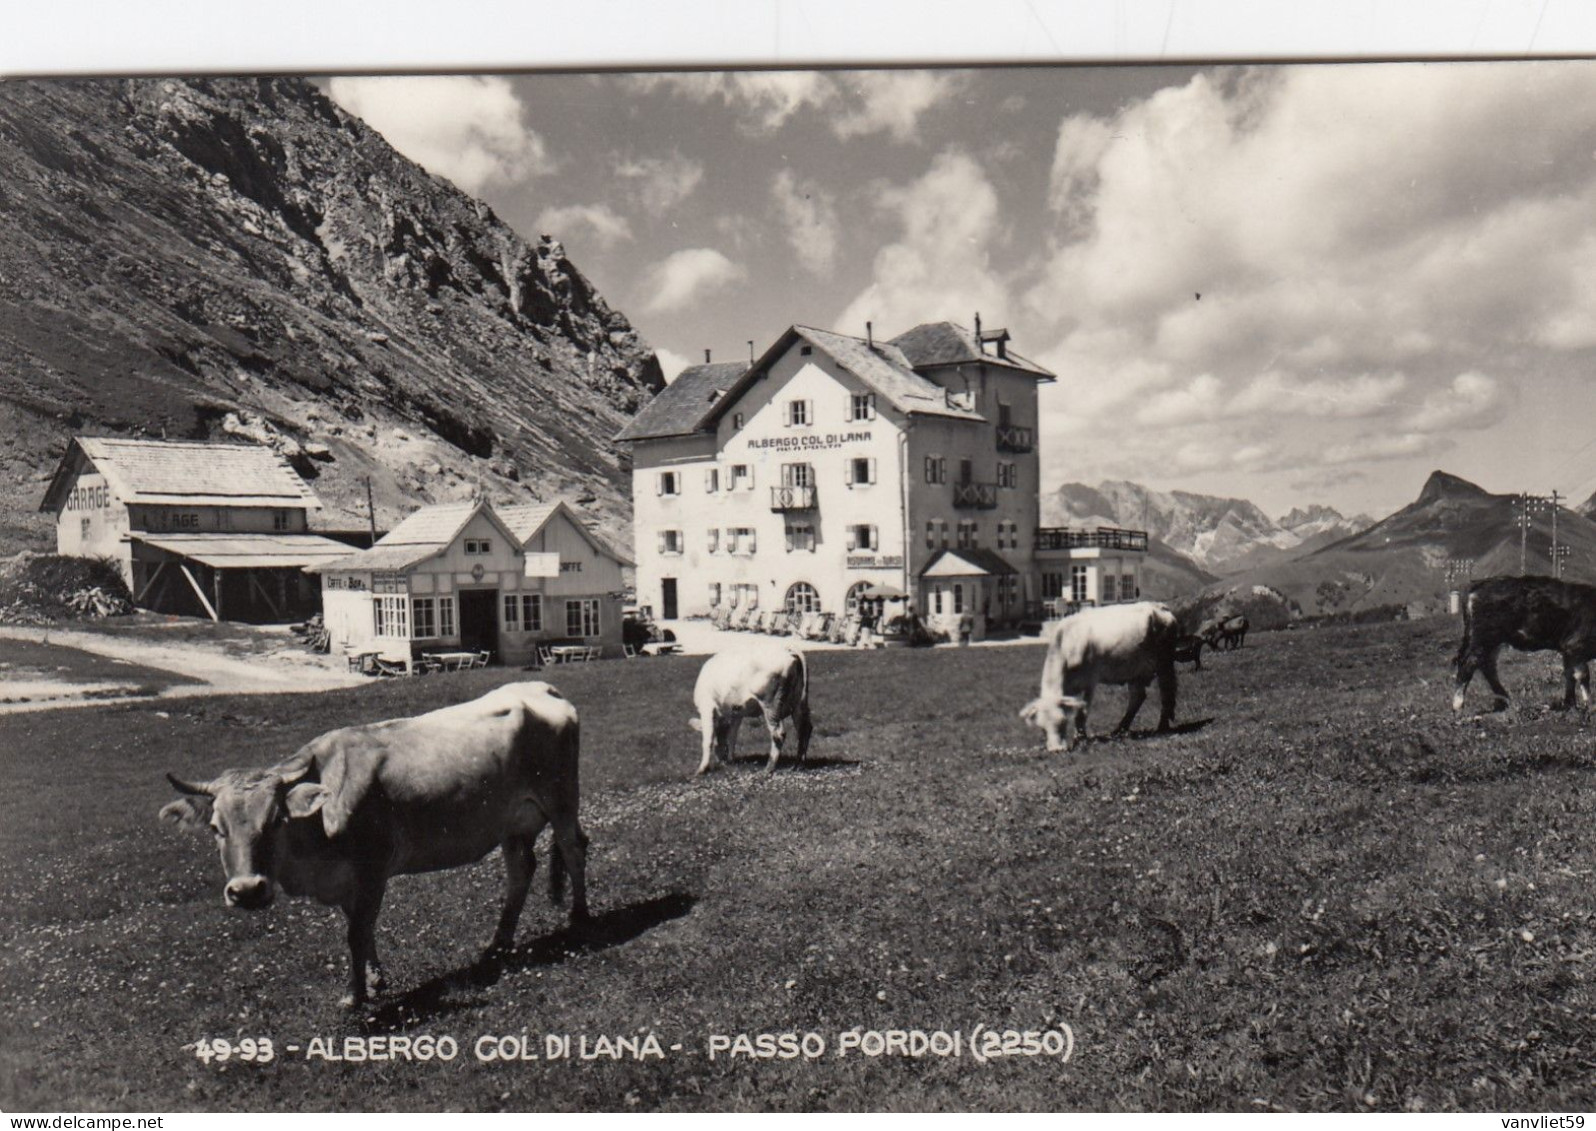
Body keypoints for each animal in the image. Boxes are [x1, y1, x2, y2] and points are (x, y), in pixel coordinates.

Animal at [157, 679, 587, 1008]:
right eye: (217, 827)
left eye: (276, 820)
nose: (247, 890)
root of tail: (537, 687)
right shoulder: (348, 879)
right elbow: (361, 927)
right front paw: (376, 979)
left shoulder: (372, 869)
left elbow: (357, 932)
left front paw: (356, 995)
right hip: (511, 822)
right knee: (521, 870)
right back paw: (498, 944)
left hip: (561, 798)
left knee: (574, 848)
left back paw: (578, 919)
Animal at [686, 641, 810, 772]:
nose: (721, 761)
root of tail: (788, 648)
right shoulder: (736, 712)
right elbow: (732, 736)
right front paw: (731, 760)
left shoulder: (707, 706)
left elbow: (707, 739)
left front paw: (701, 769)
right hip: (799, 702)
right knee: (804, 729)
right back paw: (798, 765)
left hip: (771, 704)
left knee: (779, 733)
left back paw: (768, 768)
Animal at [1015, 599, 1181, 749]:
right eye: (1042, 729)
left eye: (1062, 722)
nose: (1056, 750)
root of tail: (1159, 606)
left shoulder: (1090, 681)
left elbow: (1082, 712)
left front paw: (1080, 738)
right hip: (1135, 669)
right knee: (1137, 697)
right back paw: (1119, 730)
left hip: (1164, 663)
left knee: (1166, 693)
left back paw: (1162, 727)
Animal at [1461, 577, 1596, 711]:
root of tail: (1479, 584)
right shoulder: (1575, 646)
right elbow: (1583, 675)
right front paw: (1590, 704)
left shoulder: (1567, 651)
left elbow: (1569, 675)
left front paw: (1570, 704)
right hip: (1483, 637)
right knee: (1469, 663)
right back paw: (1459, 705)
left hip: (1492, 641)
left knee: (1487, 666)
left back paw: (1503, 701)